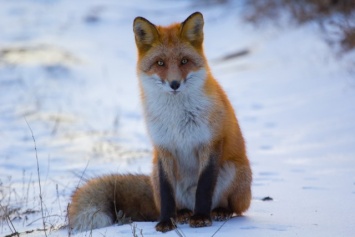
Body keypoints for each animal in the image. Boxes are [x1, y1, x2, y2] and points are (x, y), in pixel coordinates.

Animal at [69, 12, 253, 232]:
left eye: (184, 61)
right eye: (160, 63)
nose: (174, 84)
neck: (176, 117)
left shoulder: (210, 143)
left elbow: (204, 187)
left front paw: (201, 217)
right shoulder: (164, 147)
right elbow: (167, 194)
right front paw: (166, 221)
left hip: (233, 172)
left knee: (235, 208)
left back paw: (218, 211)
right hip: (155, 174)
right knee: (176, 203)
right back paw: (182, 214)